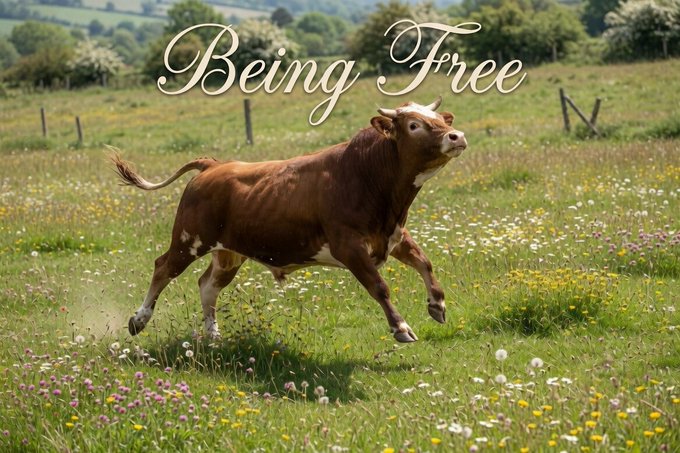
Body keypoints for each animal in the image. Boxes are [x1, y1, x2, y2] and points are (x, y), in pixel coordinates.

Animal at [112, 97, 467, 343]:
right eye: (414, 125)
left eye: (440, 118)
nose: (456, 136)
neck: (367, 174)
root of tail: (213, 165)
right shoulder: (349, 247)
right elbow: (379, 287)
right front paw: (401, 327)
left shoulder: (392, 235)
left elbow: (424, 262)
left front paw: (437, 304)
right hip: (189, 239)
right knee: (163, 268)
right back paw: (138, 320)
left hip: (229, 252)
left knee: (207, 285)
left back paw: (213, 335)